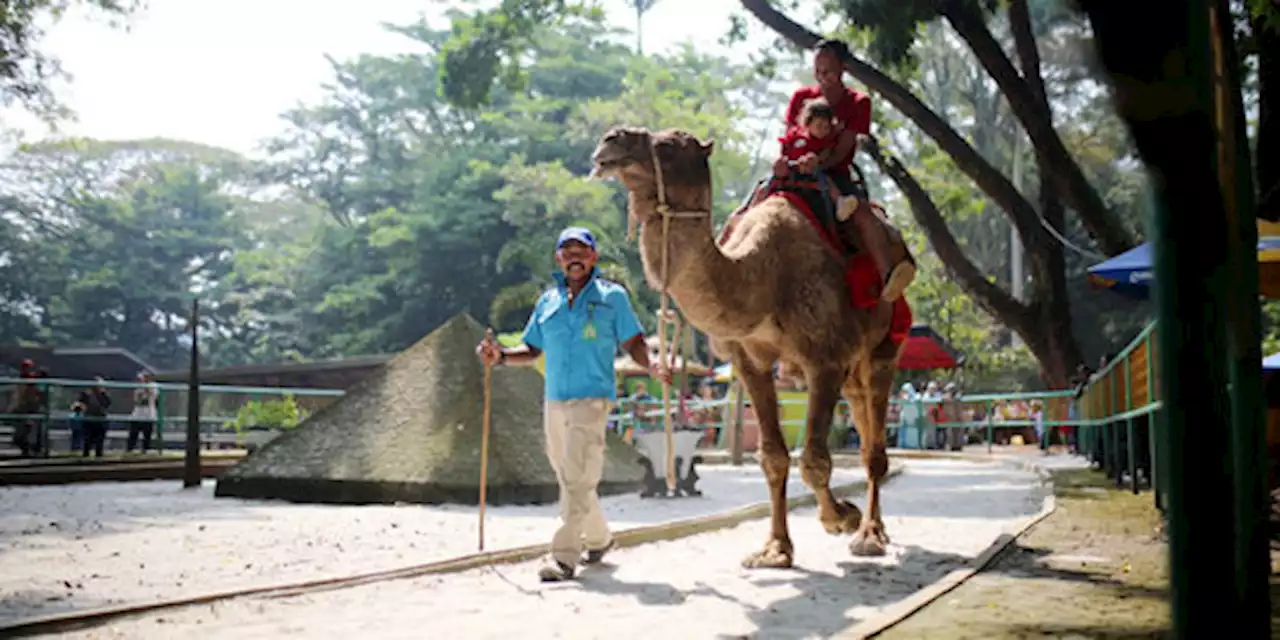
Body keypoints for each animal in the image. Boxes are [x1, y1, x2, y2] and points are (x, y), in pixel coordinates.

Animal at [591, 124, 911, 565]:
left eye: (669, 145)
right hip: (853, 366)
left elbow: (813, 459)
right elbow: (773, 457)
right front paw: (775, 550)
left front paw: (841, 517)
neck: (762, 279)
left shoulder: (824, 358)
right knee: (863, 422)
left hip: (885, 344)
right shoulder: (748, 360)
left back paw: (869, 535)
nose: (610, 141)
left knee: (875, 444)